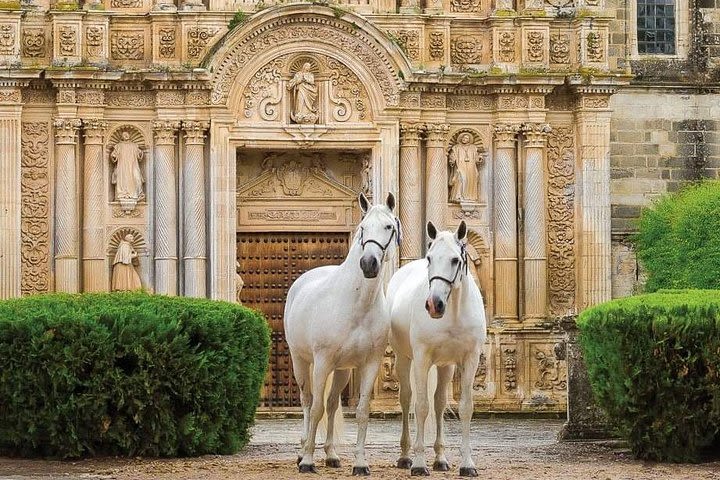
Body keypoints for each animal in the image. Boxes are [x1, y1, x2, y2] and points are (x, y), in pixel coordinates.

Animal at [284, 192, 402, 476]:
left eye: (389, 227)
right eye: (363, 227)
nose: (368, 263)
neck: (357, 303)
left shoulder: (368, 365)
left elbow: (361, 412)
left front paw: (360, 463)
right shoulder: (322, 362)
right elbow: (315, 409)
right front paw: (307, 461)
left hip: (341, 371)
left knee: (331, 404)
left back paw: (331, 455)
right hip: (301, 362)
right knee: (308, 402)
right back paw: (303, 450)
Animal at [390, 220, 486, 476]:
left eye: (455, 260)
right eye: (430, 258)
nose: (434, 304)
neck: (453, 312)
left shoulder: (469, 359)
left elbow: (465, 408)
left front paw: (467, 464)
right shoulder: (422, 358)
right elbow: (421, 407)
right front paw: (419, 464)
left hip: (445, 366)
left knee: (440, 403)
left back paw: (441, 458)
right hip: (404, 359)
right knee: (407, 399)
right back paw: (405, 456)